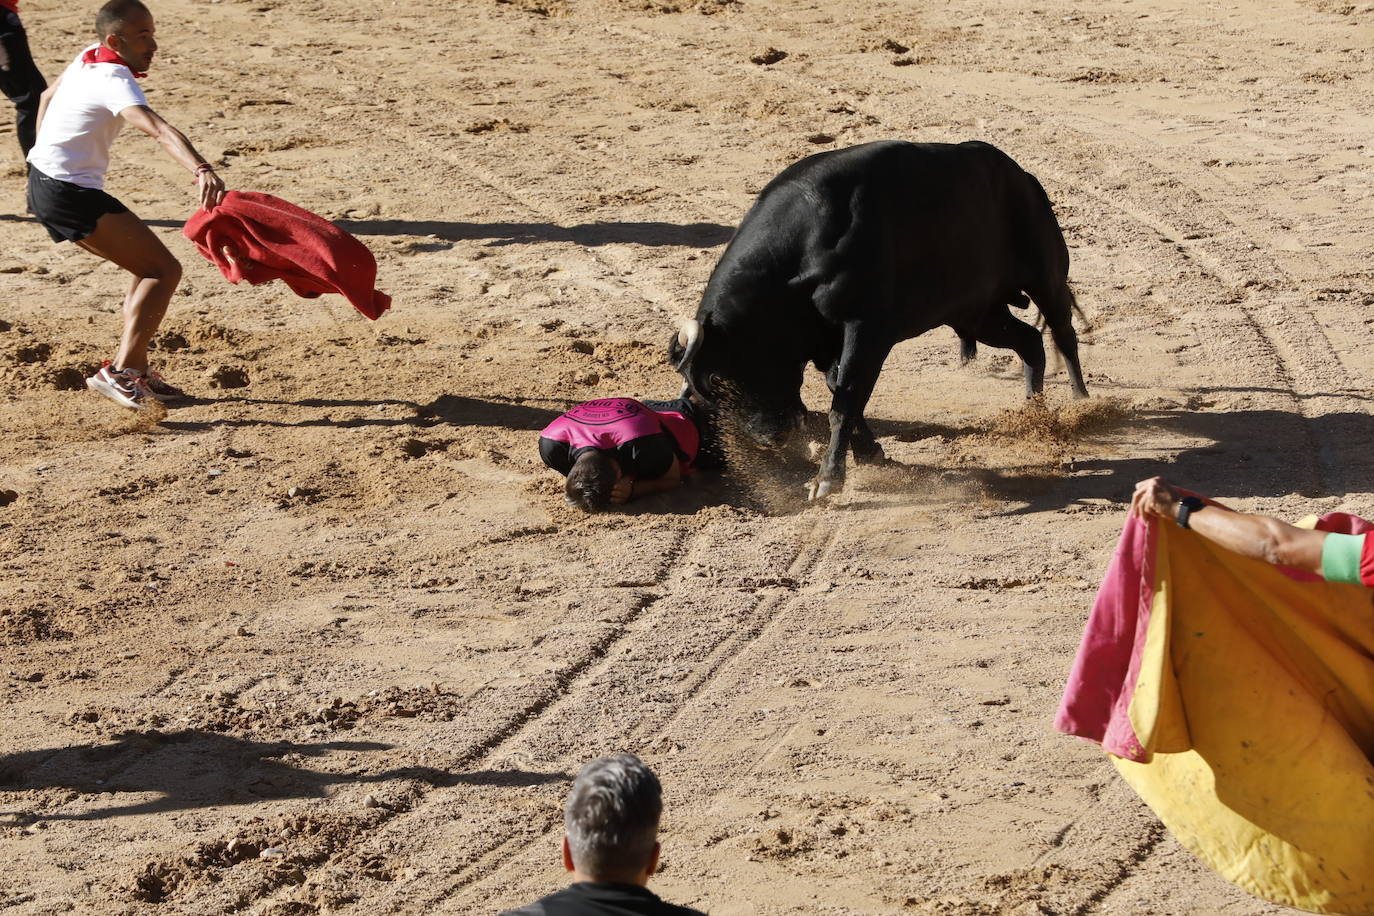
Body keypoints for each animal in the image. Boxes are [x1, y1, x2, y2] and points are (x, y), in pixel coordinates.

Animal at [670, 138, 1088, 502]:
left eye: (717, 378)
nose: (772, 438)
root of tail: (1024, 176)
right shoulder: (828, 342)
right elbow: (843, 391)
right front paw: (870, 454)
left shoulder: (865, 329)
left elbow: (846, 398)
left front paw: (827, 480)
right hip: (977, 314)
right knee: (1029, 341)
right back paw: (1033, 415)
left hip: (1045, 278)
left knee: (1063, 333)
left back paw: (1082, 402)